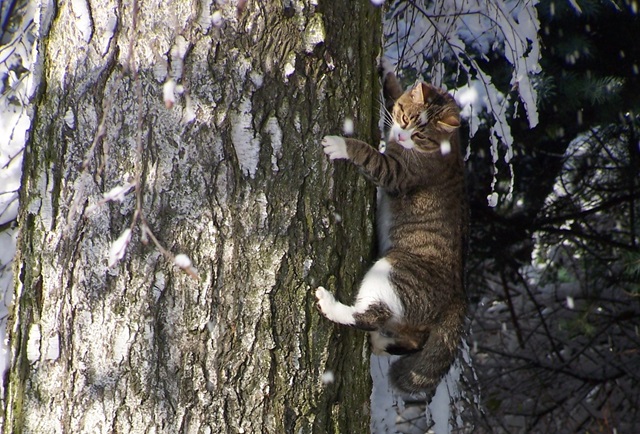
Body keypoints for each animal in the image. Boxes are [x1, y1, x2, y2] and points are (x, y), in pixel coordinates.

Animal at [318, 62, 468, 396]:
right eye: (404, 117)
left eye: (420, 135)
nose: (401, 135)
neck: (449, 148)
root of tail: (457, 296)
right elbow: (392, 92)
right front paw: (387, 72)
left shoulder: (398, 172)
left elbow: (371, 156)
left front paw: (342, 145)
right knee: (412, 339)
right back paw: (380, 343)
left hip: (392, 273)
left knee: (369, 316)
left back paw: (330, 305)